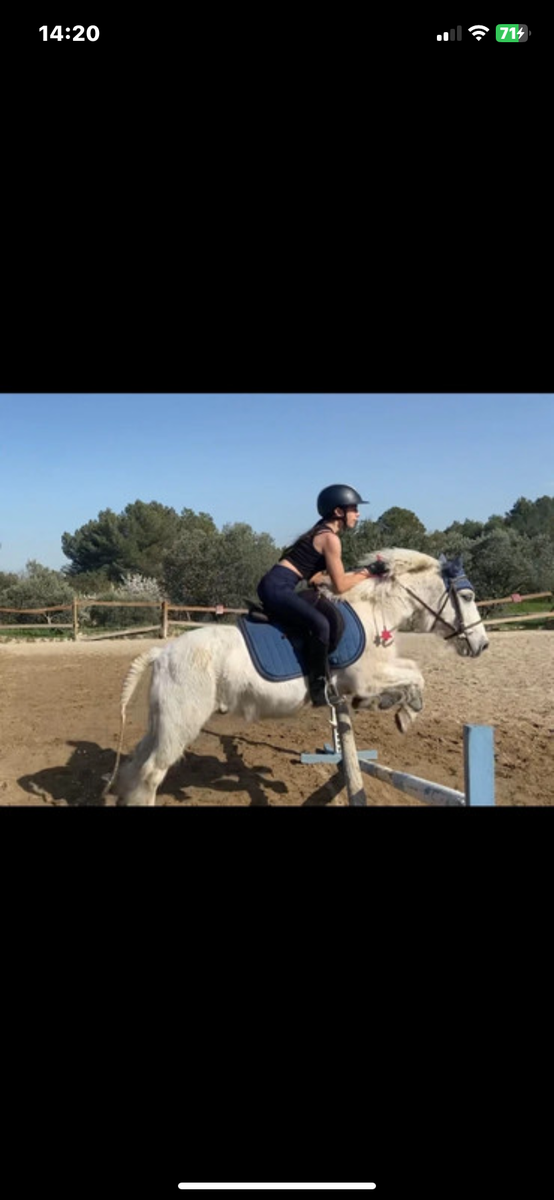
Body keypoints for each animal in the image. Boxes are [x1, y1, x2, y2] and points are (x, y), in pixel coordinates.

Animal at [103, 548, 488, 805]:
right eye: (467, 596)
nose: (482, 645)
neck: (374, 611)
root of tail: (161, 653)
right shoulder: (366, 676)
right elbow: (416, 676)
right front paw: (405, 712)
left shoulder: (374, 674)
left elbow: (411, 672)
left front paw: (396, 707)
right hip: (181, 722)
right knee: (152, 771)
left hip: (162, 720)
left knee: (136, 765)